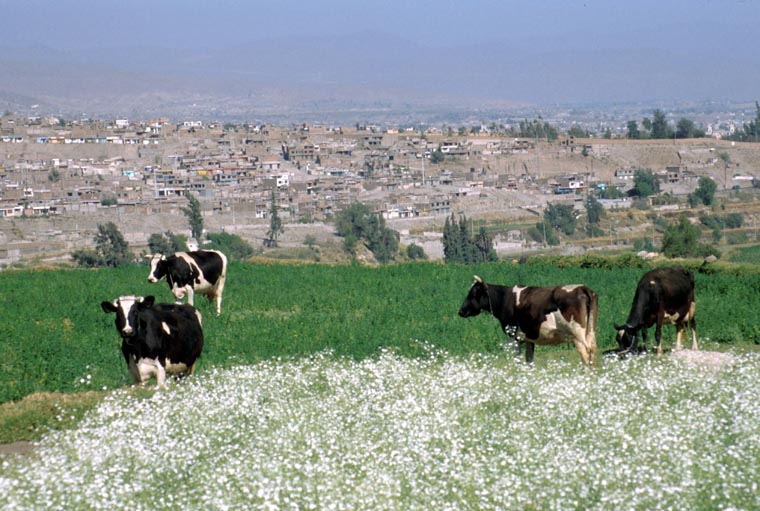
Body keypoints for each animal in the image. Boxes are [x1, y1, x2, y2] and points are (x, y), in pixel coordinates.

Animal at [458, 276, 600, 368]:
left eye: (472, 294)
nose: (460, 311)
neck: (504, 298)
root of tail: (581, 288)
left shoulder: (512, 336)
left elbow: (517, 359)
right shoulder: (529, 338)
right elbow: (529, 360)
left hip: (577, 334)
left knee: (586, 354)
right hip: (590, 331)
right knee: (593, 351)